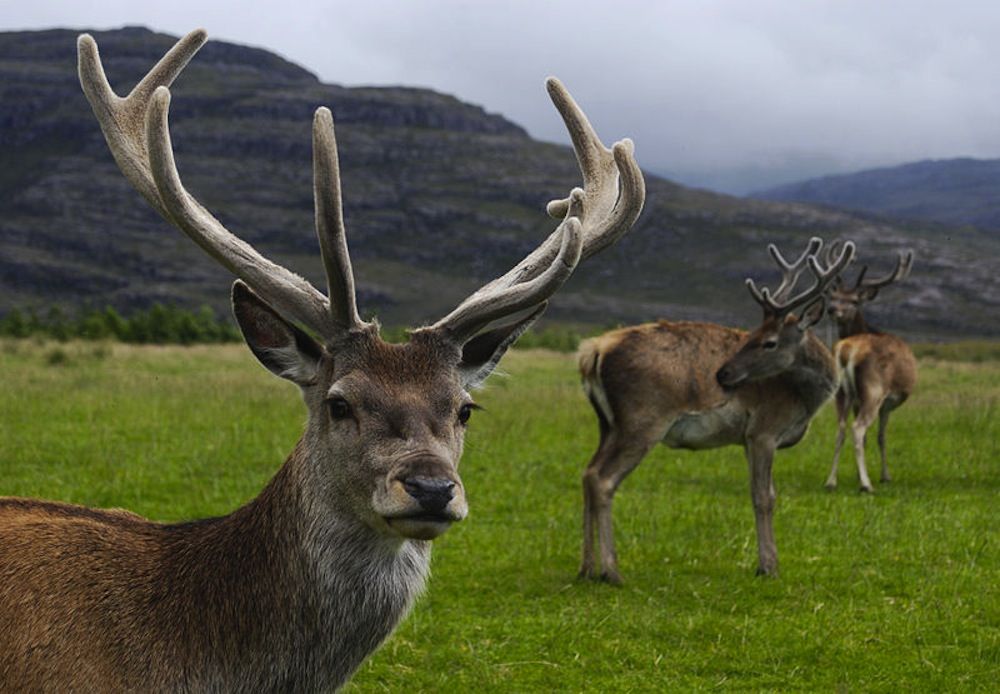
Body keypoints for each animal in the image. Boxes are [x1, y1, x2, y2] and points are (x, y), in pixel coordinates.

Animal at [580, 239, 852, 580]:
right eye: (752, 335)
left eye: (768, 341)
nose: (722, 374)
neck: (804, 399)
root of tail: (593, 351)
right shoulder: (764, 430)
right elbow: (764, 497)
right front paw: (768, 566)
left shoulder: (748, 438)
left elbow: (764, 492)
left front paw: (766, 562)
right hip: (642, 420)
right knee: (603, 479)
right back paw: (611, 571)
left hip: (607, 423)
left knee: (587, 473)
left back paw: (587, 568)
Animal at [824, 247, 916, 492]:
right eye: (834, 297)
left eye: (855, 300)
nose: (831, 309)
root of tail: (847, 349)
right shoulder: (887, 403)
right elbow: (881, 437)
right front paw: (884, 476)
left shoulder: (857, 400)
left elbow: (869, 438)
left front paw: (858, 475)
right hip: (873, 389)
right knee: (857, 428)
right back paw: (866, 485)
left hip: (841, 392)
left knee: (840, 428)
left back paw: (831, 481)